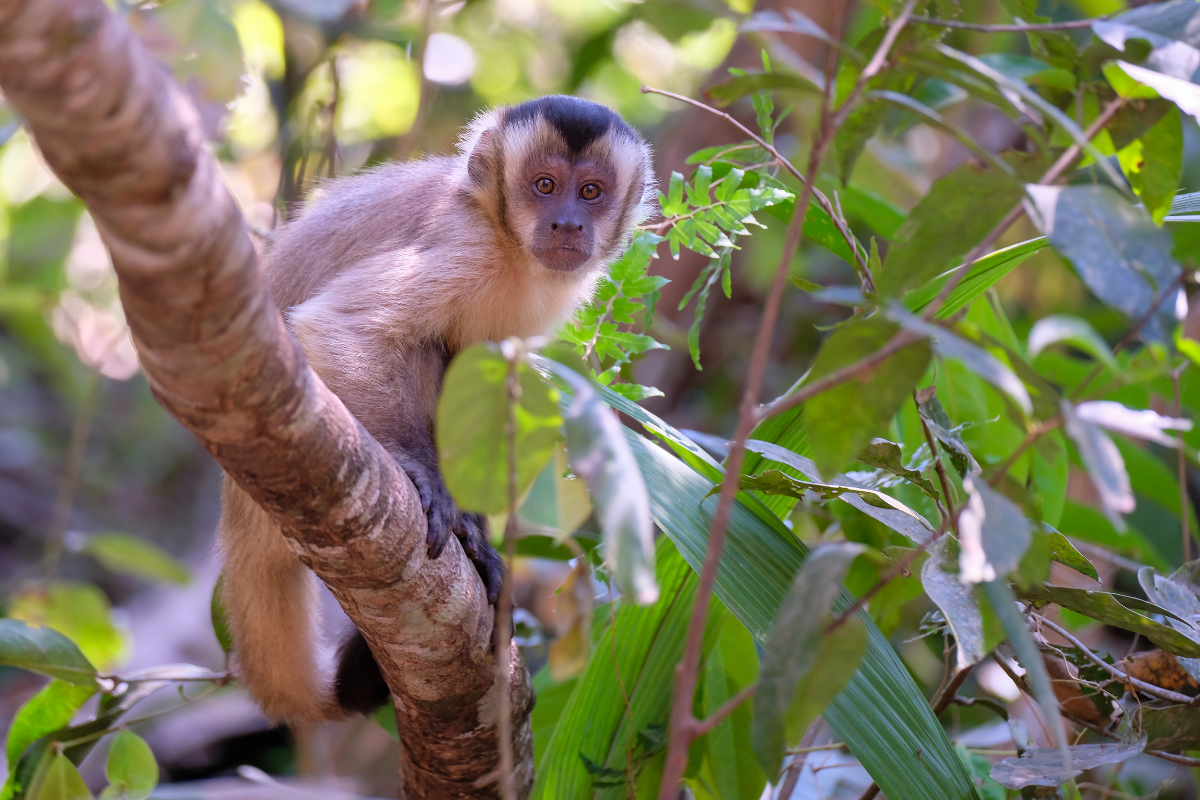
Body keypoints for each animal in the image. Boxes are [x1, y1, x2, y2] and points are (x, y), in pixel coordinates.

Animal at [217, 95, 656, 723]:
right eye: (545, 186)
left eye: (591, 192)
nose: (569, 223)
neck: (506, 244)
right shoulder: (463, 247)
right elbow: (338, 328)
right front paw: (420, 472)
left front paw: (477, 529)